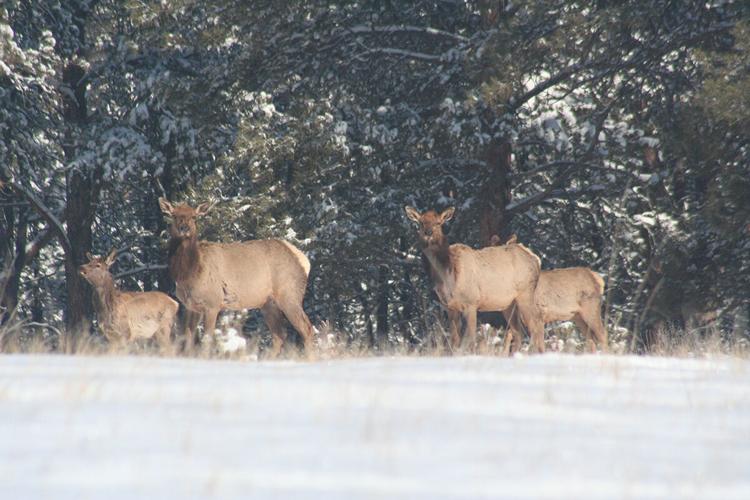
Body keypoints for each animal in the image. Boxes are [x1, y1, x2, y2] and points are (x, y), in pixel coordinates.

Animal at [158, 198, 315, 358]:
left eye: (194, 217)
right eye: (174, 215)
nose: (184, 228)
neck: (189, 274)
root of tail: (304, 260)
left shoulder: (213, 303)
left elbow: (207, 338)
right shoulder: (190, 306)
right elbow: (188, 337)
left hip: (289, 294)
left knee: (306, 329)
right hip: (268, 303)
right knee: (280, 335)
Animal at [405, 206, 546, 353]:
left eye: (438, 223)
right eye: (420, 222)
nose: (428, 232)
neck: (448, 275)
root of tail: (536, 259)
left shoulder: (471, 302)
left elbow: (470, 339)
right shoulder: (450, 306)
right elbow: (454, 340)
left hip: (525, 293)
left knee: (537, 322)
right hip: (508, 303)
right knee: (519, 331)